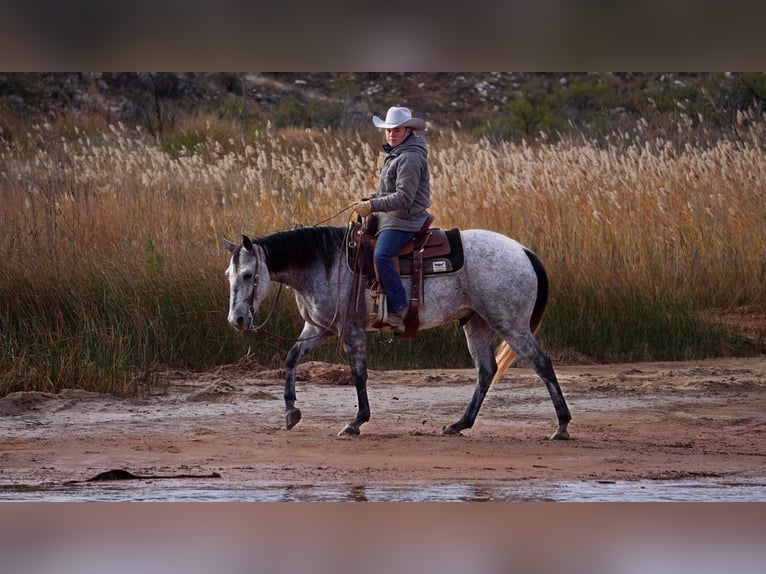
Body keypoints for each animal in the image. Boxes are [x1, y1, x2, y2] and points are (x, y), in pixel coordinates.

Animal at [222, 226, 568, 440]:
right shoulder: (319, 328)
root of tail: (522, 250)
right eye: (229, 274)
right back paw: (459, 424)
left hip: (510, 323)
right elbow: (291, 358)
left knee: (541, 363)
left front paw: (356, 422)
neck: (325, 264)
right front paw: (291, 412)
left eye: (248, 275)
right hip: (477, 322)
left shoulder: (351, 330)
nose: (237, 319)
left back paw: (562, 426)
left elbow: (358, 374)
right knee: (486, 370)